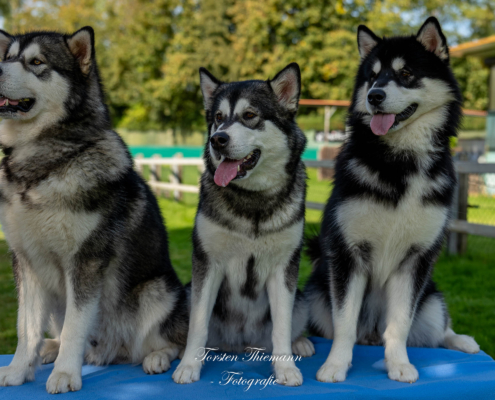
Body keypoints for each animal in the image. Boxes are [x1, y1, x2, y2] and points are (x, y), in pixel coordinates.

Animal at [0, 28, 188, 394]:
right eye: (7, 57)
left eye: (36, 62)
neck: (44, 164)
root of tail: (112, 352)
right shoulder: (25, 261)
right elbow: (26, 327)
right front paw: (17, 369)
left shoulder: (85, 261)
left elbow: (76, 326)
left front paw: (65, 374)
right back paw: (49, 349)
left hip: (156, 291)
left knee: (174, 341)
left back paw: (156, 357)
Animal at [172, 63, 316, 388]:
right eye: (218, 118)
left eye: (250, 115)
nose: (218, 140)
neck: (253, 201)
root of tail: (241, 345)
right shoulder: (207, 264)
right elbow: (197, 326)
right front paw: (189, 366)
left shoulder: (284, 269)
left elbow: (282, 326)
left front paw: (286, 368)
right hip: (186, 293)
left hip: (301, 299)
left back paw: (300, 342)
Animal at [304, 17, 482, 386]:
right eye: (372, 76)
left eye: (406, 73)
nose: (374, 96)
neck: (401, 160)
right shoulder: (348, 255)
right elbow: (344, 324)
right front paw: (335, 365)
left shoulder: (415, 260)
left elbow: (399, 324)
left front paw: (398, 364)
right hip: (316, 295)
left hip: (431, 299)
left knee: (437, 330)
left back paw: (462, 340)